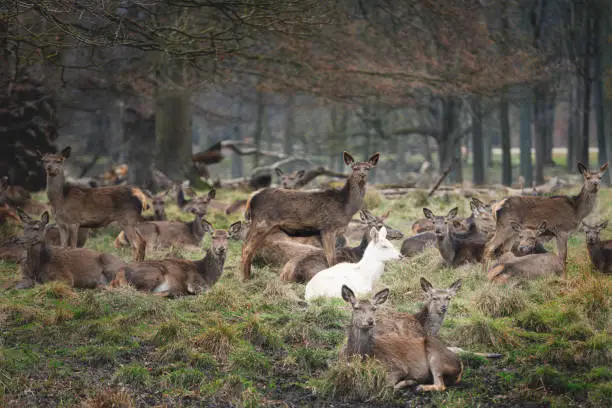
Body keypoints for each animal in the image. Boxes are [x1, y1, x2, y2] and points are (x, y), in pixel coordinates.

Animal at [239, 151, 378, 278]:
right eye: (355, 168)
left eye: (368, 168)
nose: (362, 175)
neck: (346, 208)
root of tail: (252, 198)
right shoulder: (328, 228)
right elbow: (331, 259)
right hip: (262, 222)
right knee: (246, 249)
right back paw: (245, 279)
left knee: (248, 248)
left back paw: (249, 276)